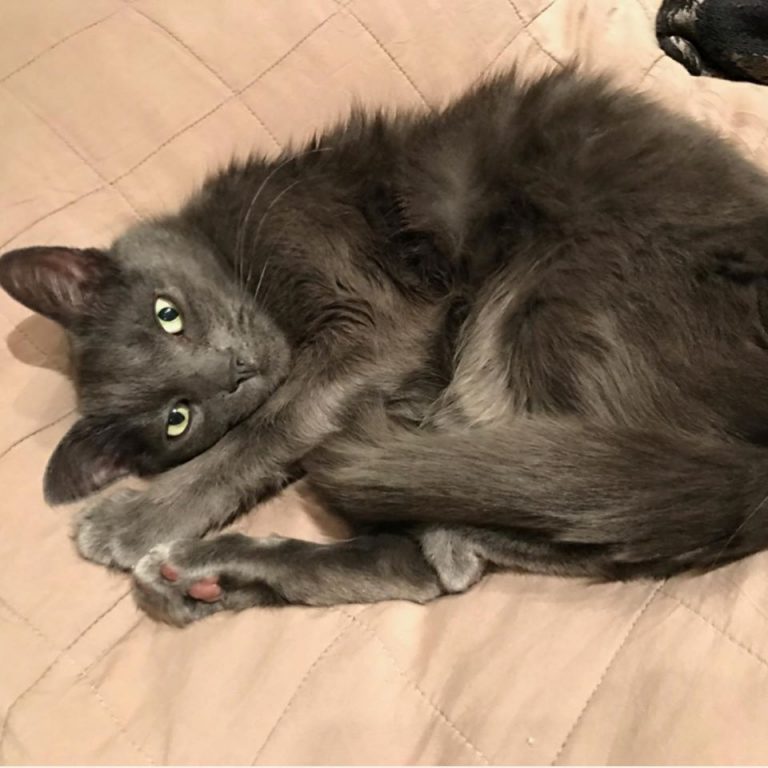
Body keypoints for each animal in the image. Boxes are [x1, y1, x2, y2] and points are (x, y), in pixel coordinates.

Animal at [3, 66, 768, 626]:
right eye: (177, 418)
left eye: (168, 315)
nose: (232, 373)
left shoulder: (382, 314)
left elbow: (273, 423)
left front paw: (137, 519)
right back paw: (202, 578)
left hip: (547, 287)